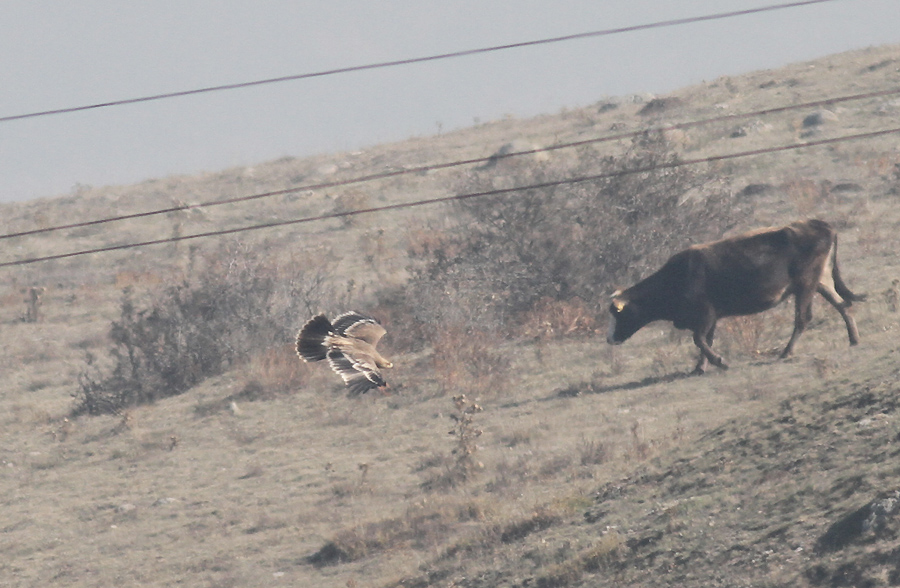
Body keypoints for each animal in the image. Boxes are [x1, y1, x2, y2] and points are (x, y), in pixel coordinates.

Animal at [604, 218, 864, 374]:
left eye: (619, 314)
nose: (609, 338)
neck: (678, 276)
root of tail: (819, 224)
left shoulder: (706, 314)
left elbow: (699, 339)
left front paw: (719, 362)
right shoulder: (711, 317)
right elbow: (706, 341)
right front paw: (700, 367)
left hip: (806, 284)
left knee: (803, 318)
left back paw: (786, 352)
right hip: (822, 281)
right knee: (843, 305)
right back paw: (854, 339)